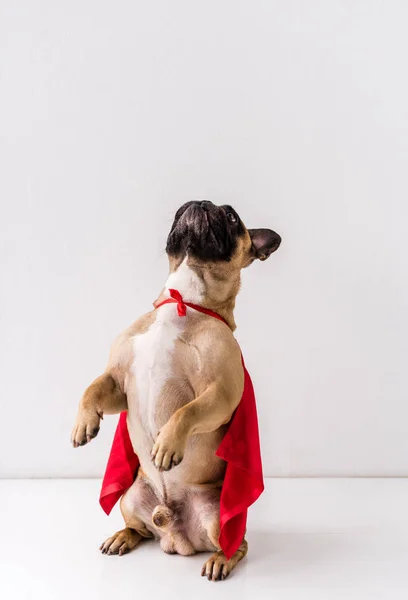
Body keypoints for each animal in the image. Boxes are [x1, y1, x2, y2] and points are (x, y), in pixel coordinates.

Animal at [71, 202, 280, 580]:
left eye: (231, 217)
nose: (202, 203)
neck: (184, 300)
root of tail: (173, 534)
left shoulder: (221, 394)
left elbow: (188, 411)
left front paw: (168, 444)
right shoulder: (118, 382)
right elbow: (91, 388)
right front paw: (84, 423)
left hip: (216, 515)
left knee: (238, 543)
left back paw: (221, 560)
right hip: (130, 496)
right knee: (141, 530)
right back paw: (122, 536)